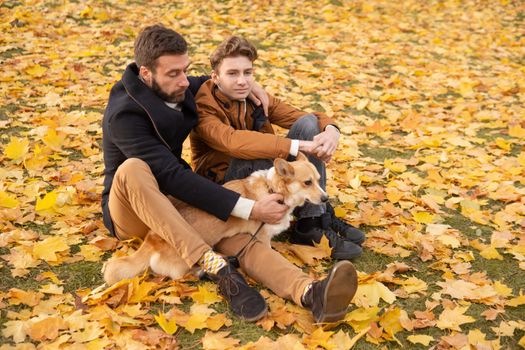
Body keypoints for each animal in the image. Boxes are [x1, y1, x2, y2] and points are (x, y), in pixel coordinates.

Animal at [102, 152, 328, 286]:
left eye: (318, 180)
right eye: (307, 182)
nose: (326, 199)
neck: (274, 189)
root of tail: (151, 240)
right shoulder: (263, 237)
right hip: (184, 261)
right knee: (177, 274)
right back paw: (200, 272)